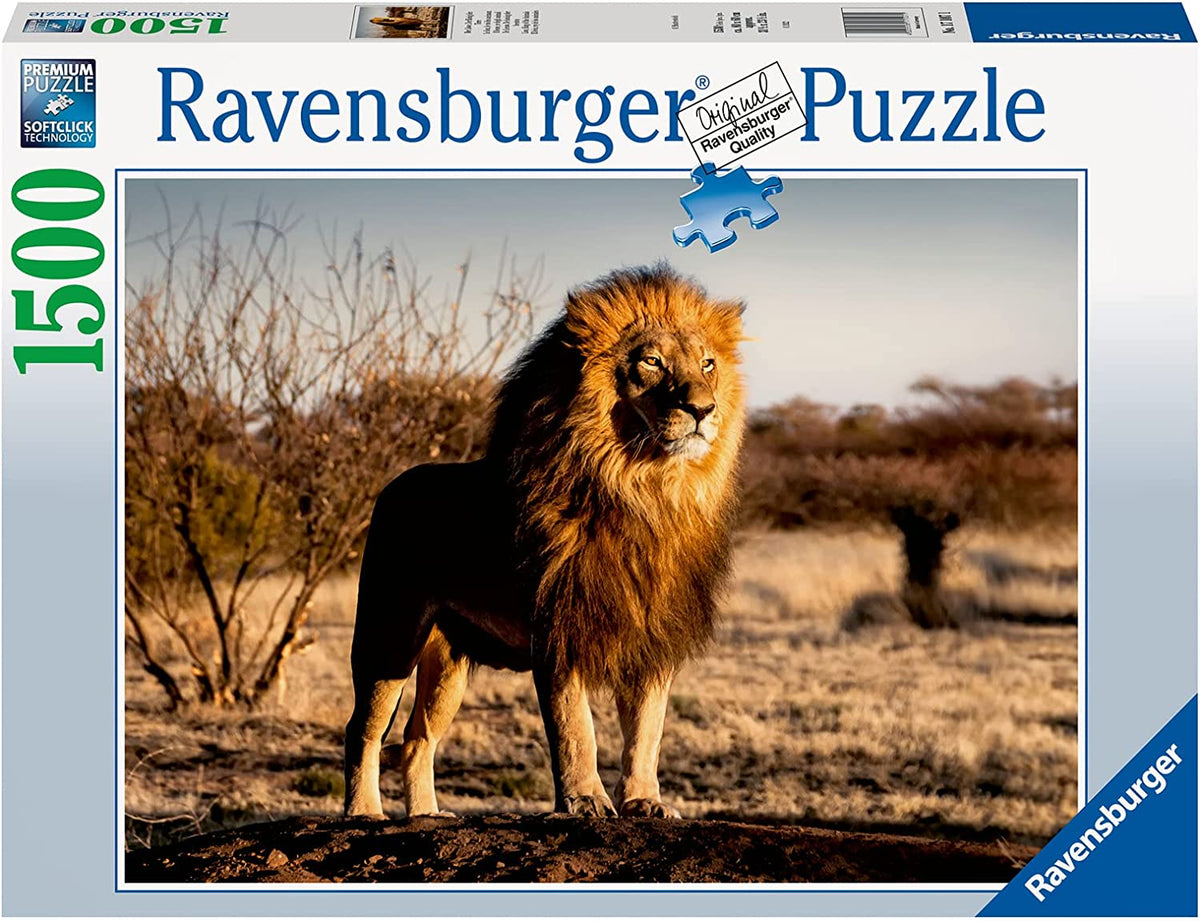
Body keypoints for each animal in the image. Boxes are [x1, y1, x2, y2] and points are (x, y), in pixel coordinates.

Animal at [344, 264, 746, 819]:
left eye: (708, 364)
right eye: (652, 361)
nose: (703, 409)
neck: (645, 490)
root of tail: (394, 484)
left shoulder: (652, 635)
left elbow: (647, 731)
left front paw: (644, 801)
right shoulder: (558, 628)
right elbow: (576, 728)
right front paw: (585, 800)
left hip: (447, 663)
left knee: (416, 738)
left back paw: (426, 814)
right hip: (389, 634)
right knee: (363, 728)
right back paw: (363, 812)